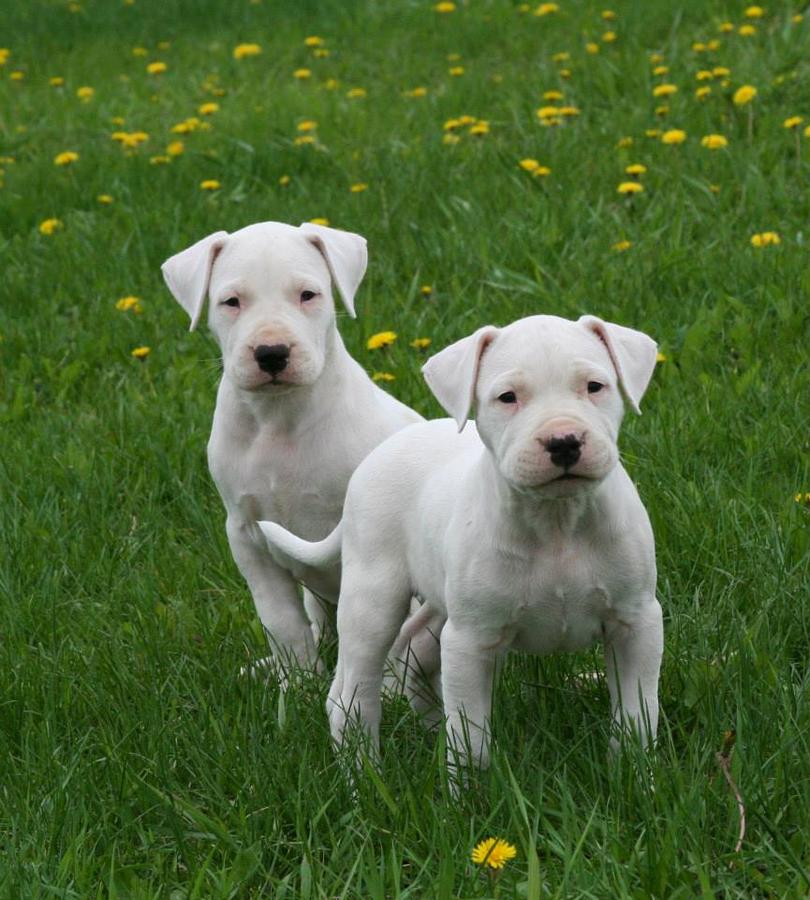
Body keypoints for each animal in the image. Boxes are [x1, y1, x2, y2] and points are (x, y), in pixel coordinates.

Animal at [162, 223, 420, 676]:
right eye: (231, 302)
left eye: (308, 295)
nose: (271, 353)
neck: (279, 418)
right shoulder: (247, 535)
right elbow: (280, 619)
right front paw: (298, 680)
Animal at [258, 312, 664, 768]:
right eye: (508, 397)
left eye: (594, 386)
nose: (563, 442)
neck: (556, 522)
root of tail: (381, 452)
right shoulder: (470, 642)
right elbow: (472, 739)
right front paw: (471, 787)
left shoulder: (636, 623)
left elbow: (636, 716)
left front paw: (636, 776)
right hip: (372, 599)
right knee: (351, 697)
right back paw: (364, 774)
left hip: (438, 603)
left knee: (414, 649)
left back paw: (429, 733)